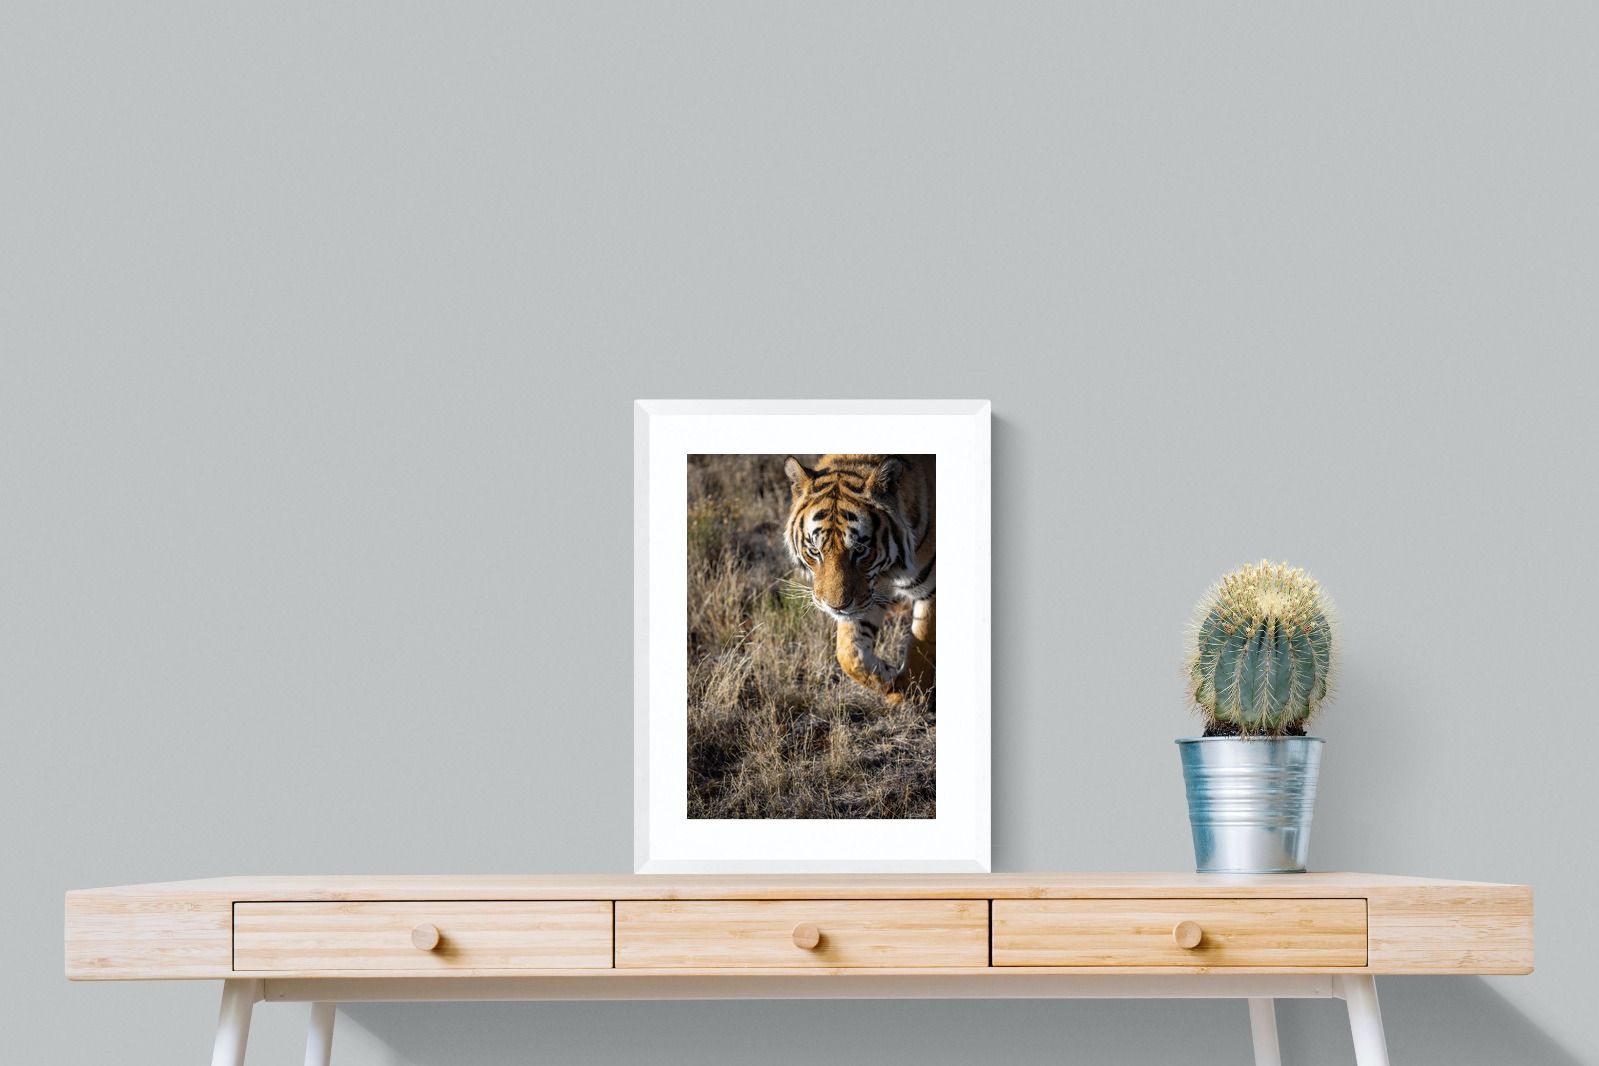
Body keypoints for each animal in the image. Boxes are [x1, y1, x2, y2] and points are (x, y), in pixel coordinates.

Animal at [782, 454, 935, 705]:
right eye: (815, 551)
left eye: (860, 550)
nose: (836, 607)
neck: (888, 571)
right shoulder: (868, 595)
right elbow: (849, 653)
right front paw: (891, 680)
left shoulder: (930, 589)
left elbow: (921, 641)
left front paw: (913, 692)